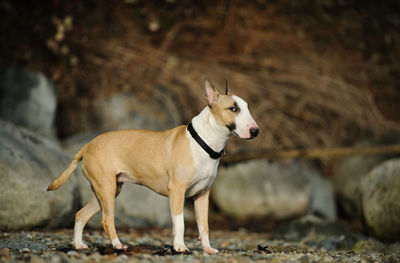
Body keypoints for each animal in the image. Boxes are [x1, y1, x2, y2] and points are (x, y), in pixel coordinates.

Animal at [47, 79, 260, 255]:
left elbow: (204, 226)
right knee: (106, 220)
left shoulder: (202, 196)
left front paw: (207, 249)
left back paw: (78, 245)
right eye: (233, 109)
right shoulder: (177, 191)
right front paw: (180, 247)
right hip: (106, 189)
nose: (255, 131)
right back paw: (118, 245)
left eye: (247, 107)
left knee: (80, 215)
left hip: (105, 191)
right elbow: (180, 223)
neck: (204, 142)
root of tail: (89, 144)